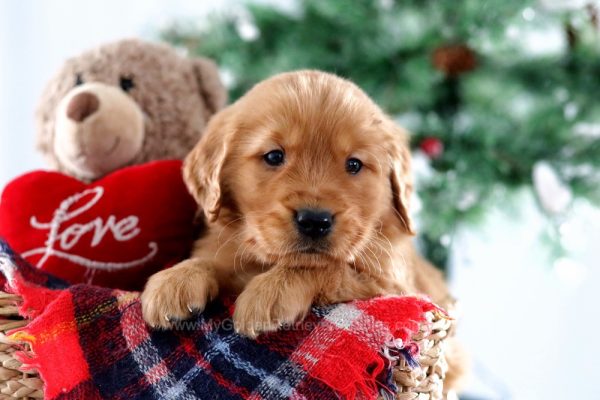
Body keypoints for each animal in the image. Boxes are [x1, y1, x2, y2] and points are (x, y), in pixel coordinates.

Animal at [141, 70, 464, 386]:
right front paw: (176, 279)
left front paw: (269, 292)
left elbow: (325, 267)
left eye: (354, 164)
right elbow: (213, 261)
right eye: (274, 156)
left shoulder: (391, 283)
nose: (315, 220)